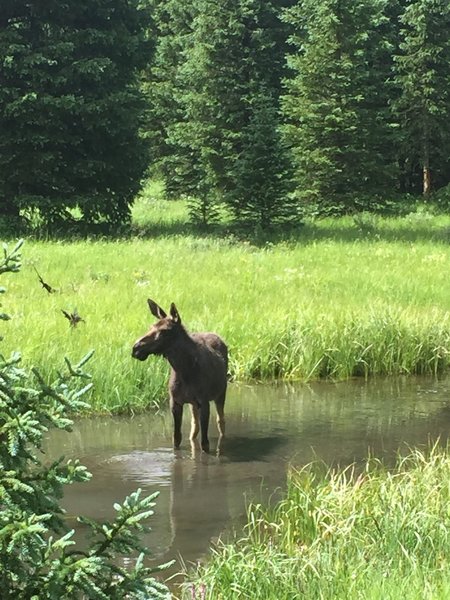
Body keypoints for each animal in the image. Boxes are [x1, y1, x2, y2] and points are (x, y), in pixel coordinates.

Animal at [131, 298, 229, 452]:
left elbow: (205, 444)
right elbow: (176, 438)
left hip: (221, 392)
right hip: (193, 403)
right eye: (151, 326)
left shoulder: (204, 401)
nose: (136, 348)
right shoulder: (175, 401)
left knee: (221, 421)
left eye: (164, 330)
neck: (184, 370)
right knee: (195, 426)